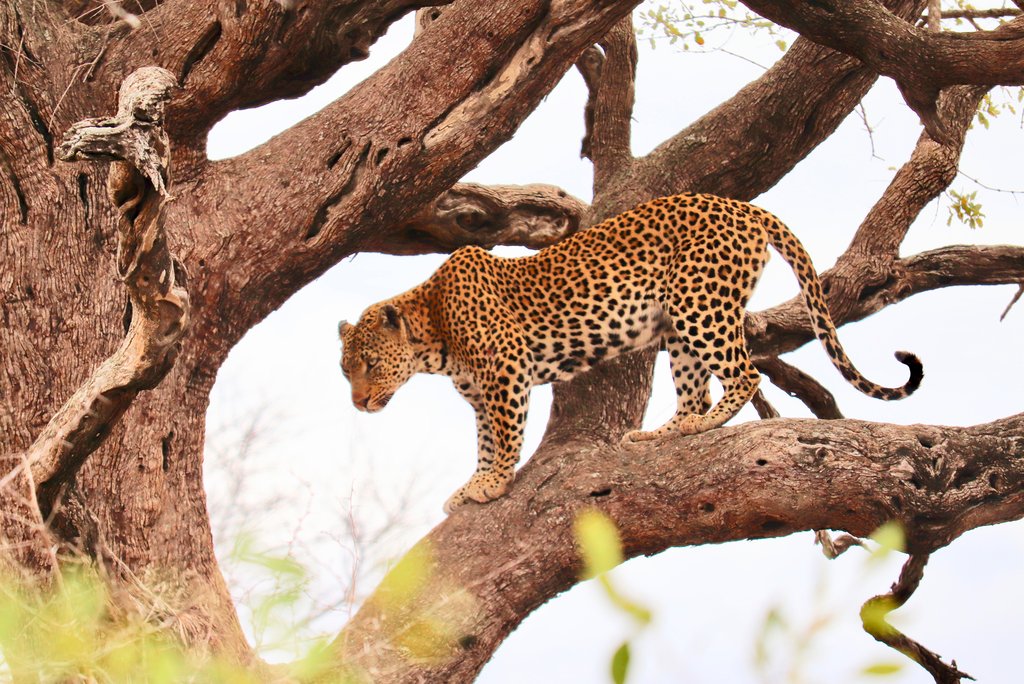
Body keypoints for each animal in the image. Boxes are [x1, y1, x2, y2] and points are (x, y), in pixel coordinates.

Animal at [339, 192, 925, 511]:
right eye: (346, 372)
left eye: (368, 364)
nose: (358, 404)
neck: (432, 328)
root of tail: (744, 206)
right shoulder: (483, 394)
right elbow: (483, 442)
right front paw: (473, 486)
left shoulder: (505, 377)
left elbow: (502, 441)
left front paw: (493, 484)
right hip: (678, 329)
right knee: (694, 389)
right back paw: (660, 433)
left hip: (699, 302)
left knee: (744, 375)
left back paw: (705, 423)